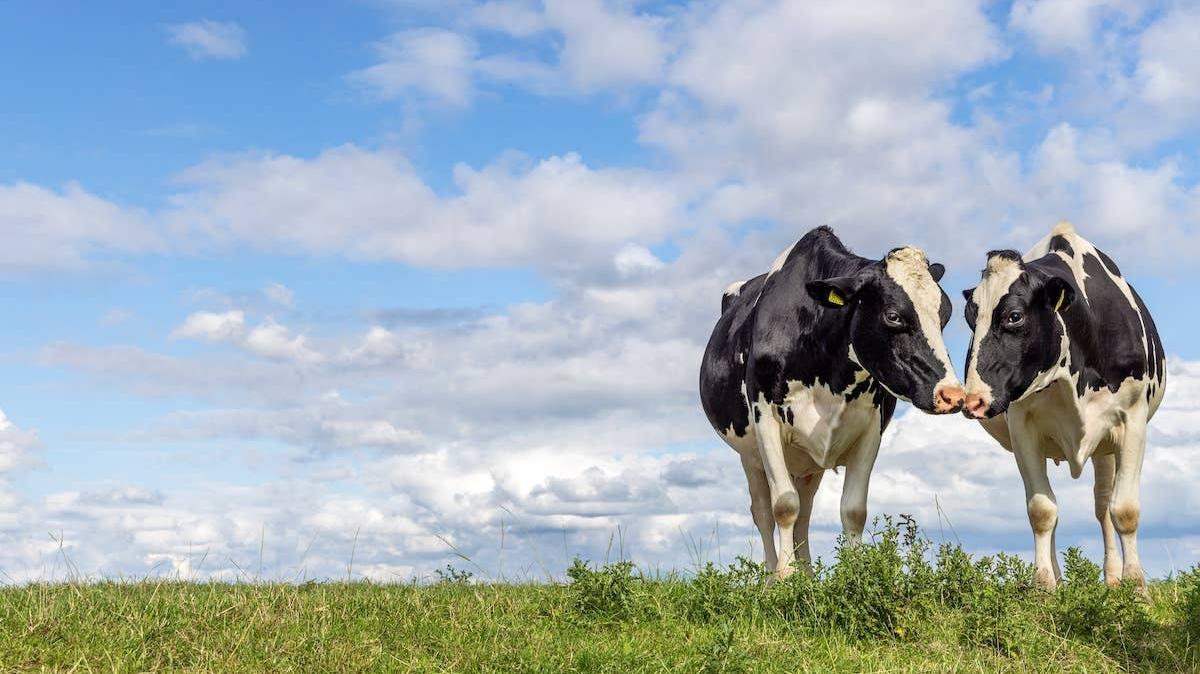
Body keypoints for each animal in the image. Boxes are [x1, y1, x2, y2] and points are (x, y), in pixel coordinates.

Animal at [700, 226, 965, 578]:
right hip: (750, 455)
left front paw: (849, 577)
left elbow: (852, 511)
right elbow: (783, 505)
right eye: (893, 316)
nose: (953, 394)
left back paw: (809, 578)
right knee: (763, 512)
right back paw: (770, 577)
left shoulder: (871, 429)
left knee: (805, 513)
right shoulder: (764, 417)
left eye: (945, 315)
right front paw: (784, 578)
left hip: (807, 463)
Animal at [961, 221, 1166, 591]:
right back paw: (1058, 577)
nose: (972, 400)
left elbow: (1124, 510)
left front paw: (1137, 587)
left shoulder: (1132, 420)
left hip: (1105, 447)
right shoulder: (1022, 427)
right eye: (971, 319)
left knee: (1103, 505)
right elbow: (1042, 510)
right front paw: (1044, 587)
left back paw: (1113, 579)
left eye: (1014, 316)